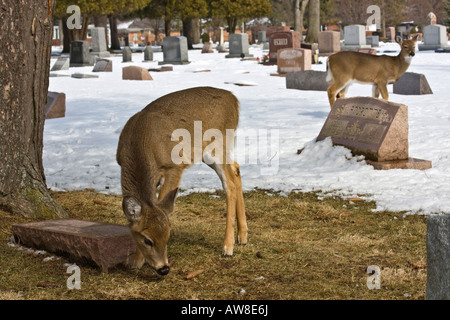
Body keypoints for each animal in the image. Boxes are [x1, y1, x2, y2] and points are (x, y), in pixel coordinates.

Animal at [116, 87, 248, 276]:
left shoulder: (174, 166)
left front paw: (137, 262)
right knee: (236, 169)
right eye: (147, 240)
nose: (164, 269)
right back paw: (242, 236)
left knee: (229, 181)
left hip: (218, 144)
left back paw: (227, 248)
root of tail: (234, 99)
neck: (139, 142)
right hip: (208, 152)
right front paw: (135, 262)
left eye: (167, 236)